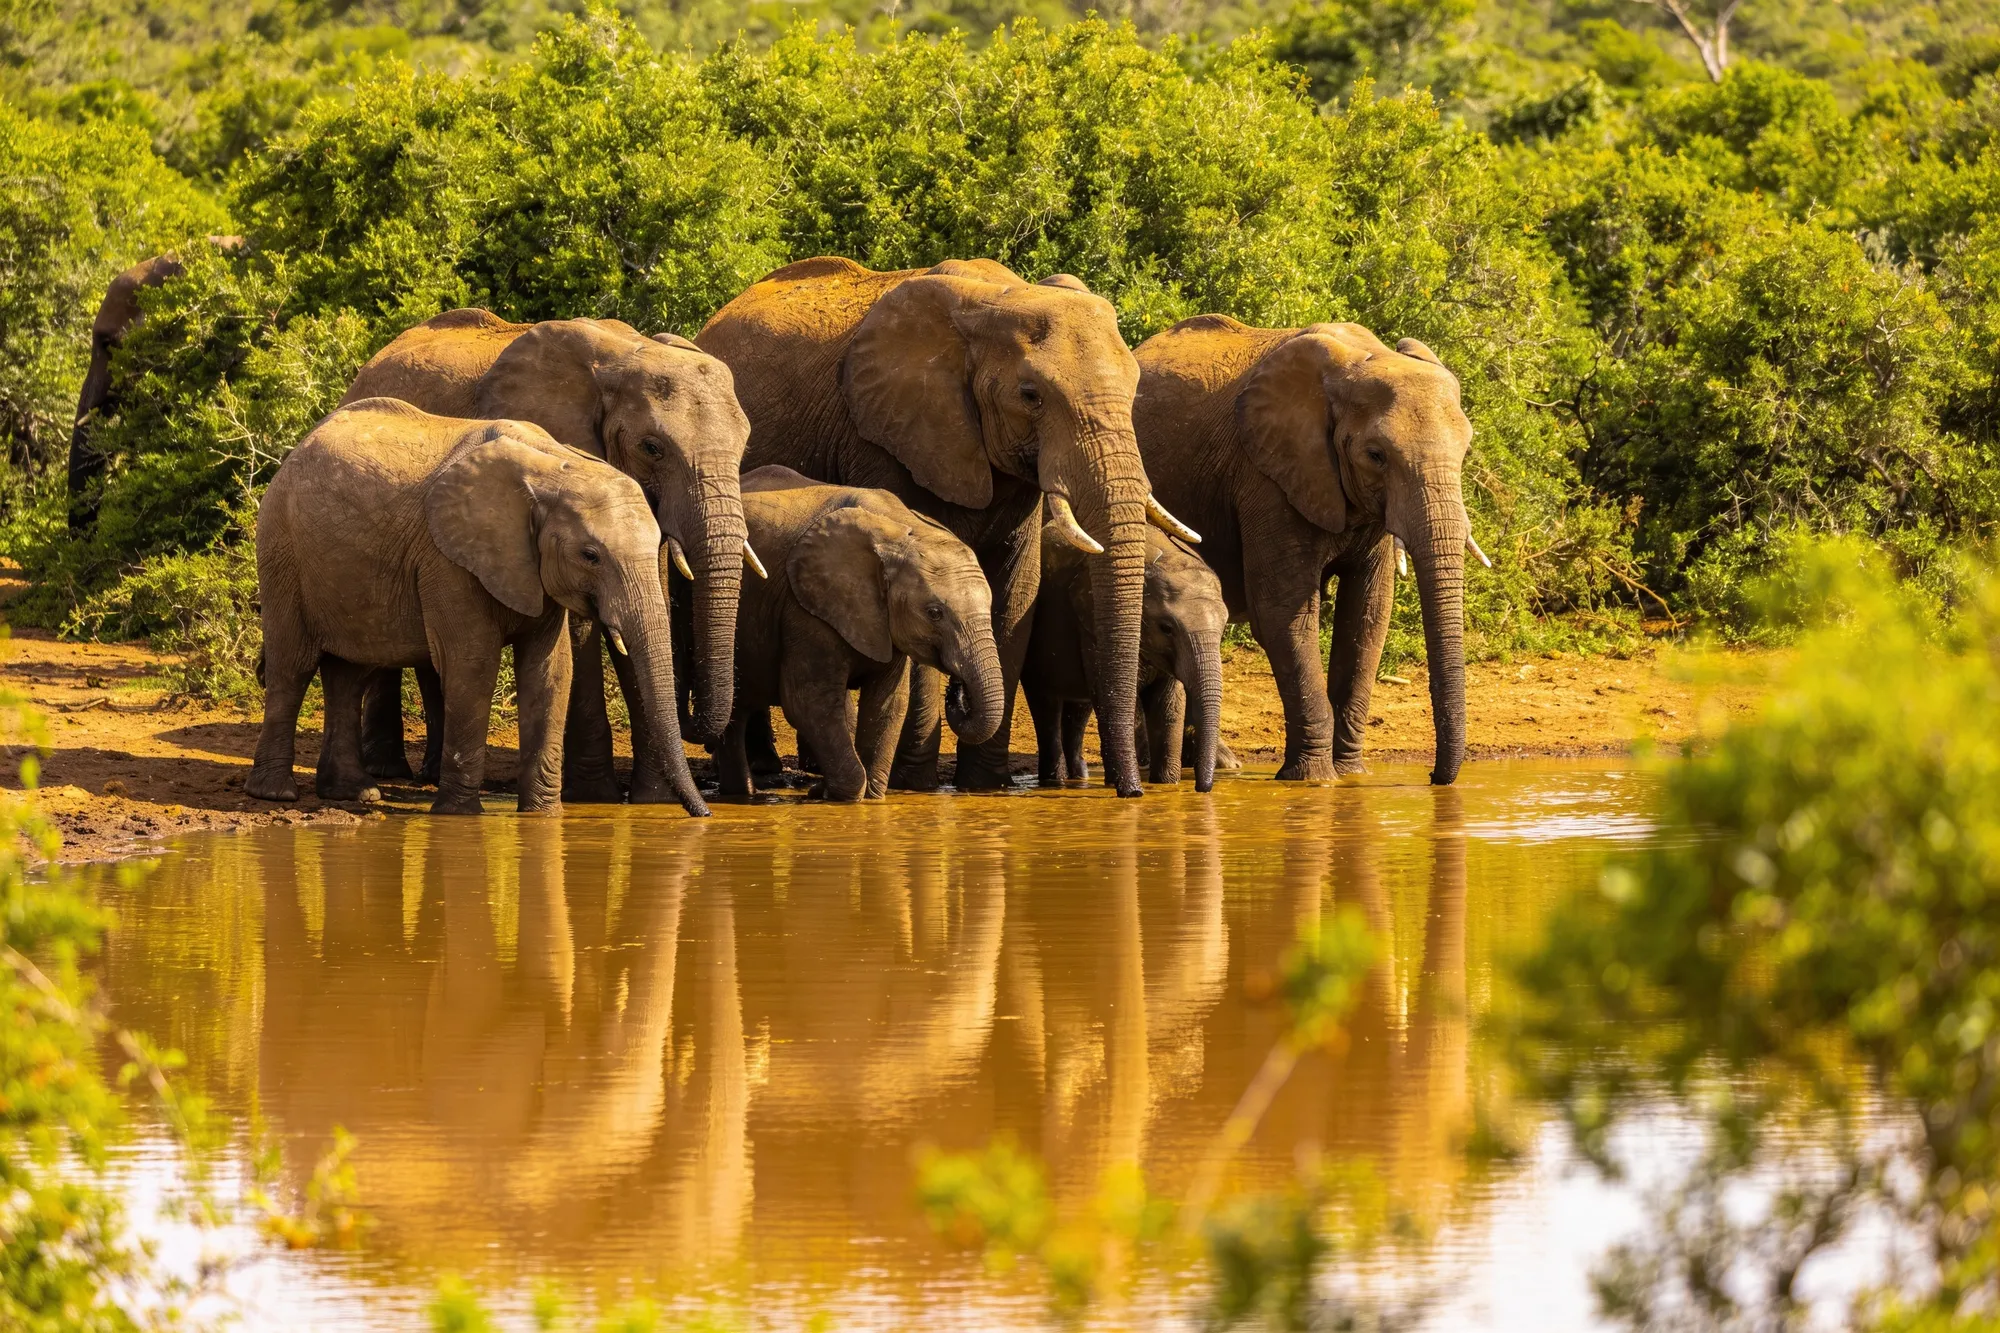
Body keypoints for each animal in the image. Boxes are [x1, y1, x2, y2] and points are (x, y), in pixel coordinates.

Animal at [249, 398, 707, 817]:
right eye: (590, 555)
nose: (703, 814)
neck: (554, 467)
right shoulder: (447, 558)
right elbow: (472, 663)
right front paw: (459, 817)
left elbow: (550, 671)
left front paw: (543, 817)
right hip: (281, 552)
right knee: (293, 667)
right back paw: (276, 794)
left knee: (349, 673)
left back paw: (355, 794)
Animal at [337, 309, 755, 801]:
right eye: (652, 448)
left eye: (745, 444)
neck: (624, 354)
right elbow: (580, 627)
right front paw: (596, 796)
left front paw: (651, 801)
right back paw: (388, 769)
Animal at [710, 466, 1006, 801]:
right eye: (934, 613)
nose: (956, 687)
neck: (900, 530)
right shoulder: (805, 606)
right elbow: (808, 701)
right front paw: (835, 796)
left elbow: (887, 704)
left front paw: (869, 796)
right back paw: (743, 795)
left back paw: (741, 794)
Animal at [1022, 525, 1228, 792]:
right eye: (1166, 628)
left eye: (1223, 628)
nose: (1203, 788)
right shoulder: (1093, 625)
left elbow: (1168, 705)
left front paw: (1167, 785)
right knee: (1046, 708)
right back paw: (1054, 781)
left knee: (1078, 710)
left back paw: (1078, 777)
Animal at [1132, 316, 1479, 785]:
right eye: (1376, 455)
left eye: (1465, 450)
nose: (1433, 778)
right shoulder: (1265, 478)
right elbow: (1283, 613)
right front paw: (1314, 779)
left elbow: (1367, 616)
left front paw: (1351, 775)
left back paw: (1218, 763)